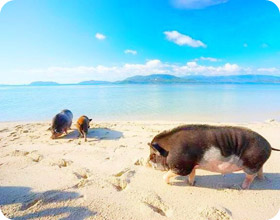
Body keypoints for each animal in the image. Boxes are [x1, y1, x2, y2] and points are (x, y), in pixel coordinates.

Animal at [148, 125, 278, 189]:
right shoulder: (192, 164)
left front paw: (169, 184)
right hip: (257, 163)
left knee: (251, 175)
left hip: (251, 163)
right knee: (259, 171)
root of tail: (269, 145)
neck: (169, 149)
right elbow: (192, 174)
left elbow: (168, 174)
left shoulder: (182, 166)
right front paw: (191, 184)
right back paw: (262, 180)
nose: (147, 163)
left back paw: (242, 187)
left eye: (153, 155)